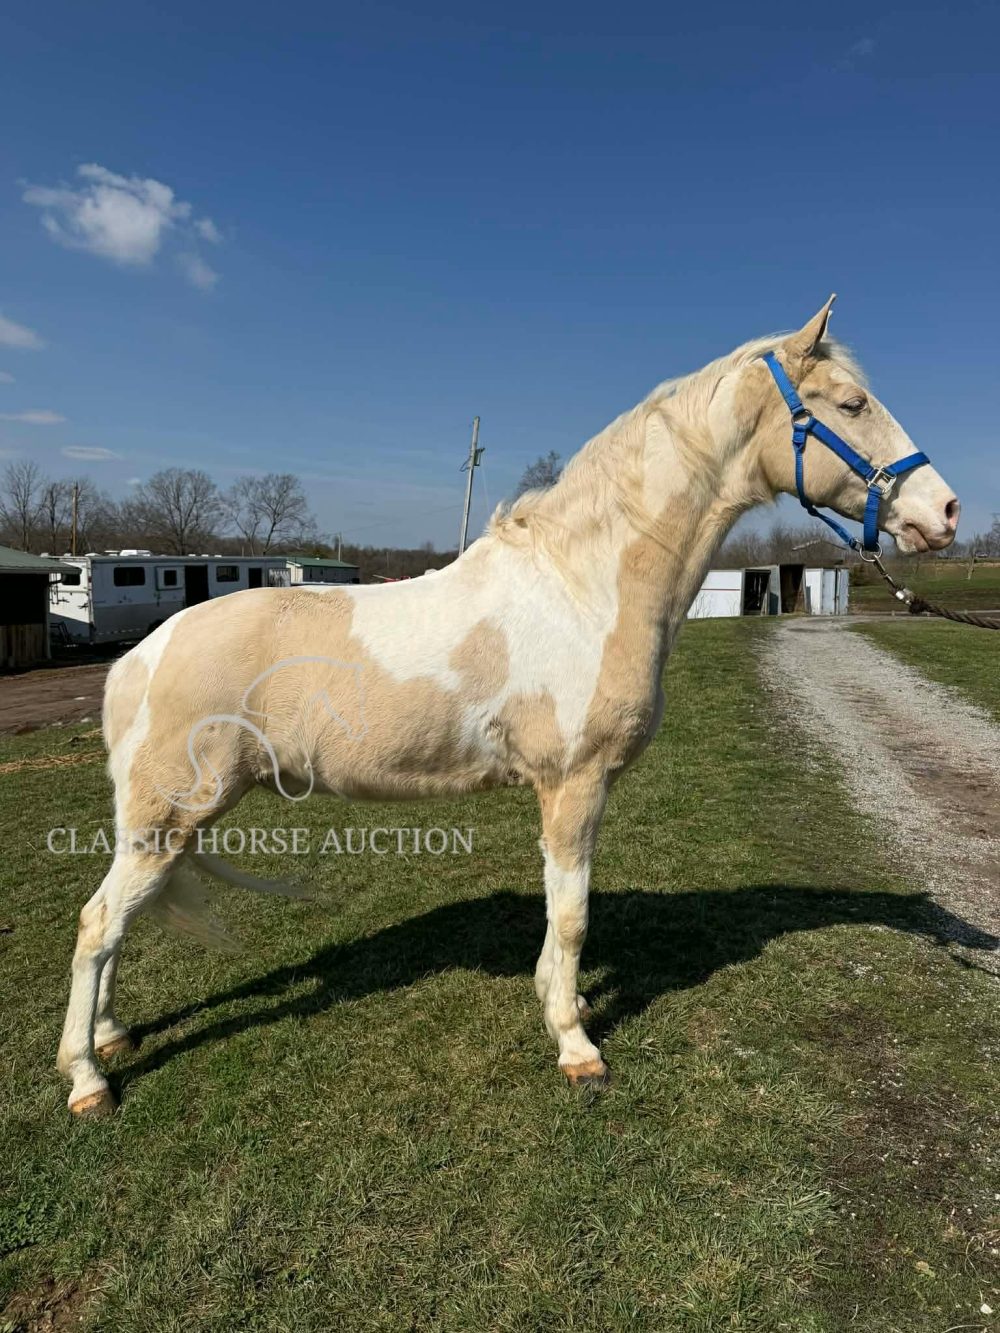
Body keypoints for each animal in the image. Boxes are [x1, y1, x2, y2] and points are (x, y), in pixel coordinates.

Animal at [57, 297, 959, 1116]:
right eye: (852, 404)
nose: (945, 512)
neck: (586, 584)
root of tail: (138, 657)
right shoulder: (573, 783)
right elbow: (574, 914)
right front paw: (576, 1045)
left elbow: (565, 921)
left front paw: (569, 1002)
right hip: (170, 816)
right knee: (98, 922)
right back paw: (88, 1080)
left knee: (116, 924)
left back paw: (110, 1037)